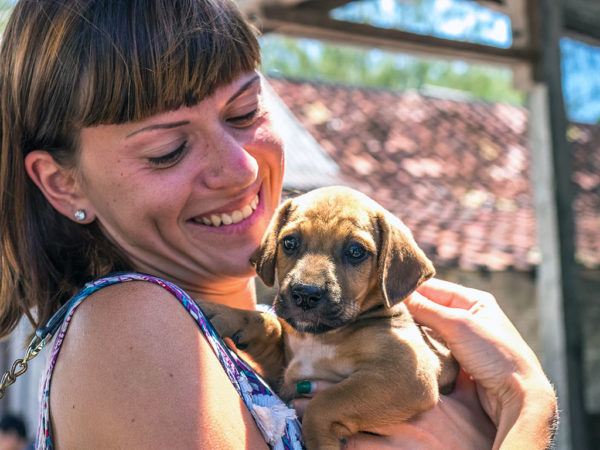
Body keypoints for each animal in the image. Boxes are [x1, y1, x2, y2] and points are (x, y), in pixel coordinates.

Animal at [199, 185, 458, 448]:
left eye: (356, 251)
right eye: (289, 242)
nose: (305, 294)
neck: (317, 337)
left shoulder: (408, 373)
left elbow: (323, 403)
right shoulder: (282, 373)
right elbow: (270, 323)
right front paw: (226, 313)